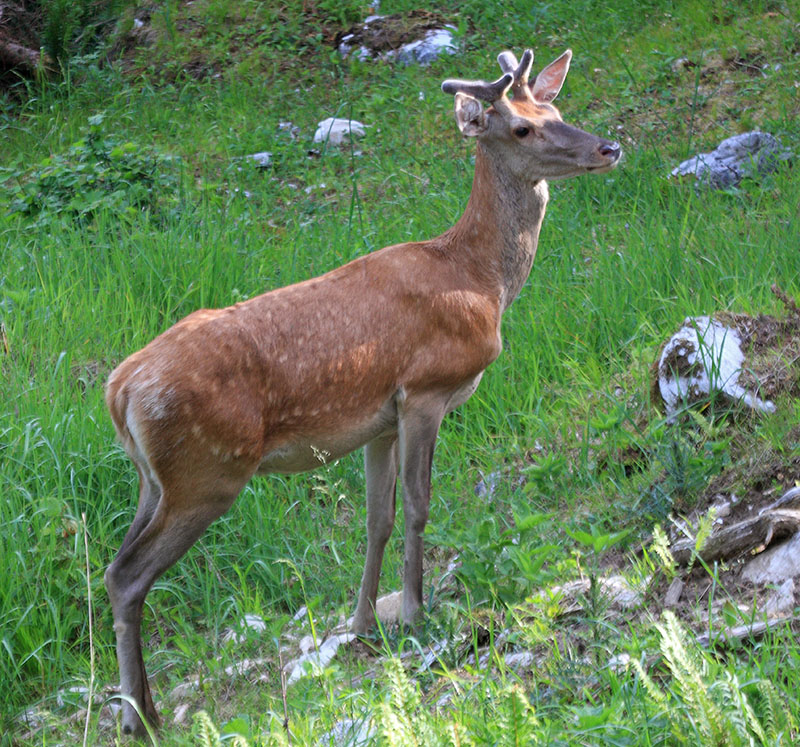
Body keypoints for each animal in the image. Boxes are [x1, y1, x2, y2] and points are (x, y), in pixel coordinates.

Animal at [104, 46, 620, 736]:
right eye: (521, 129)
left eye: (558, 113)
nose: (608, 147)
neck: (481, 279)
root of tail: (120, 388)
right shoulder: (426, 390)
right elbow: (419, 505)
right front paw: (419, 613)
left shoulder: (378, 421)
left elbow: (377, 518)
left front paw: (363, 624)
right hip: (205, 473)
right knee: (128, 576)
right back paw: (139, 718)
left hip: (154, 479)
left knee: (116, 566)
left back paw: (142, 707)